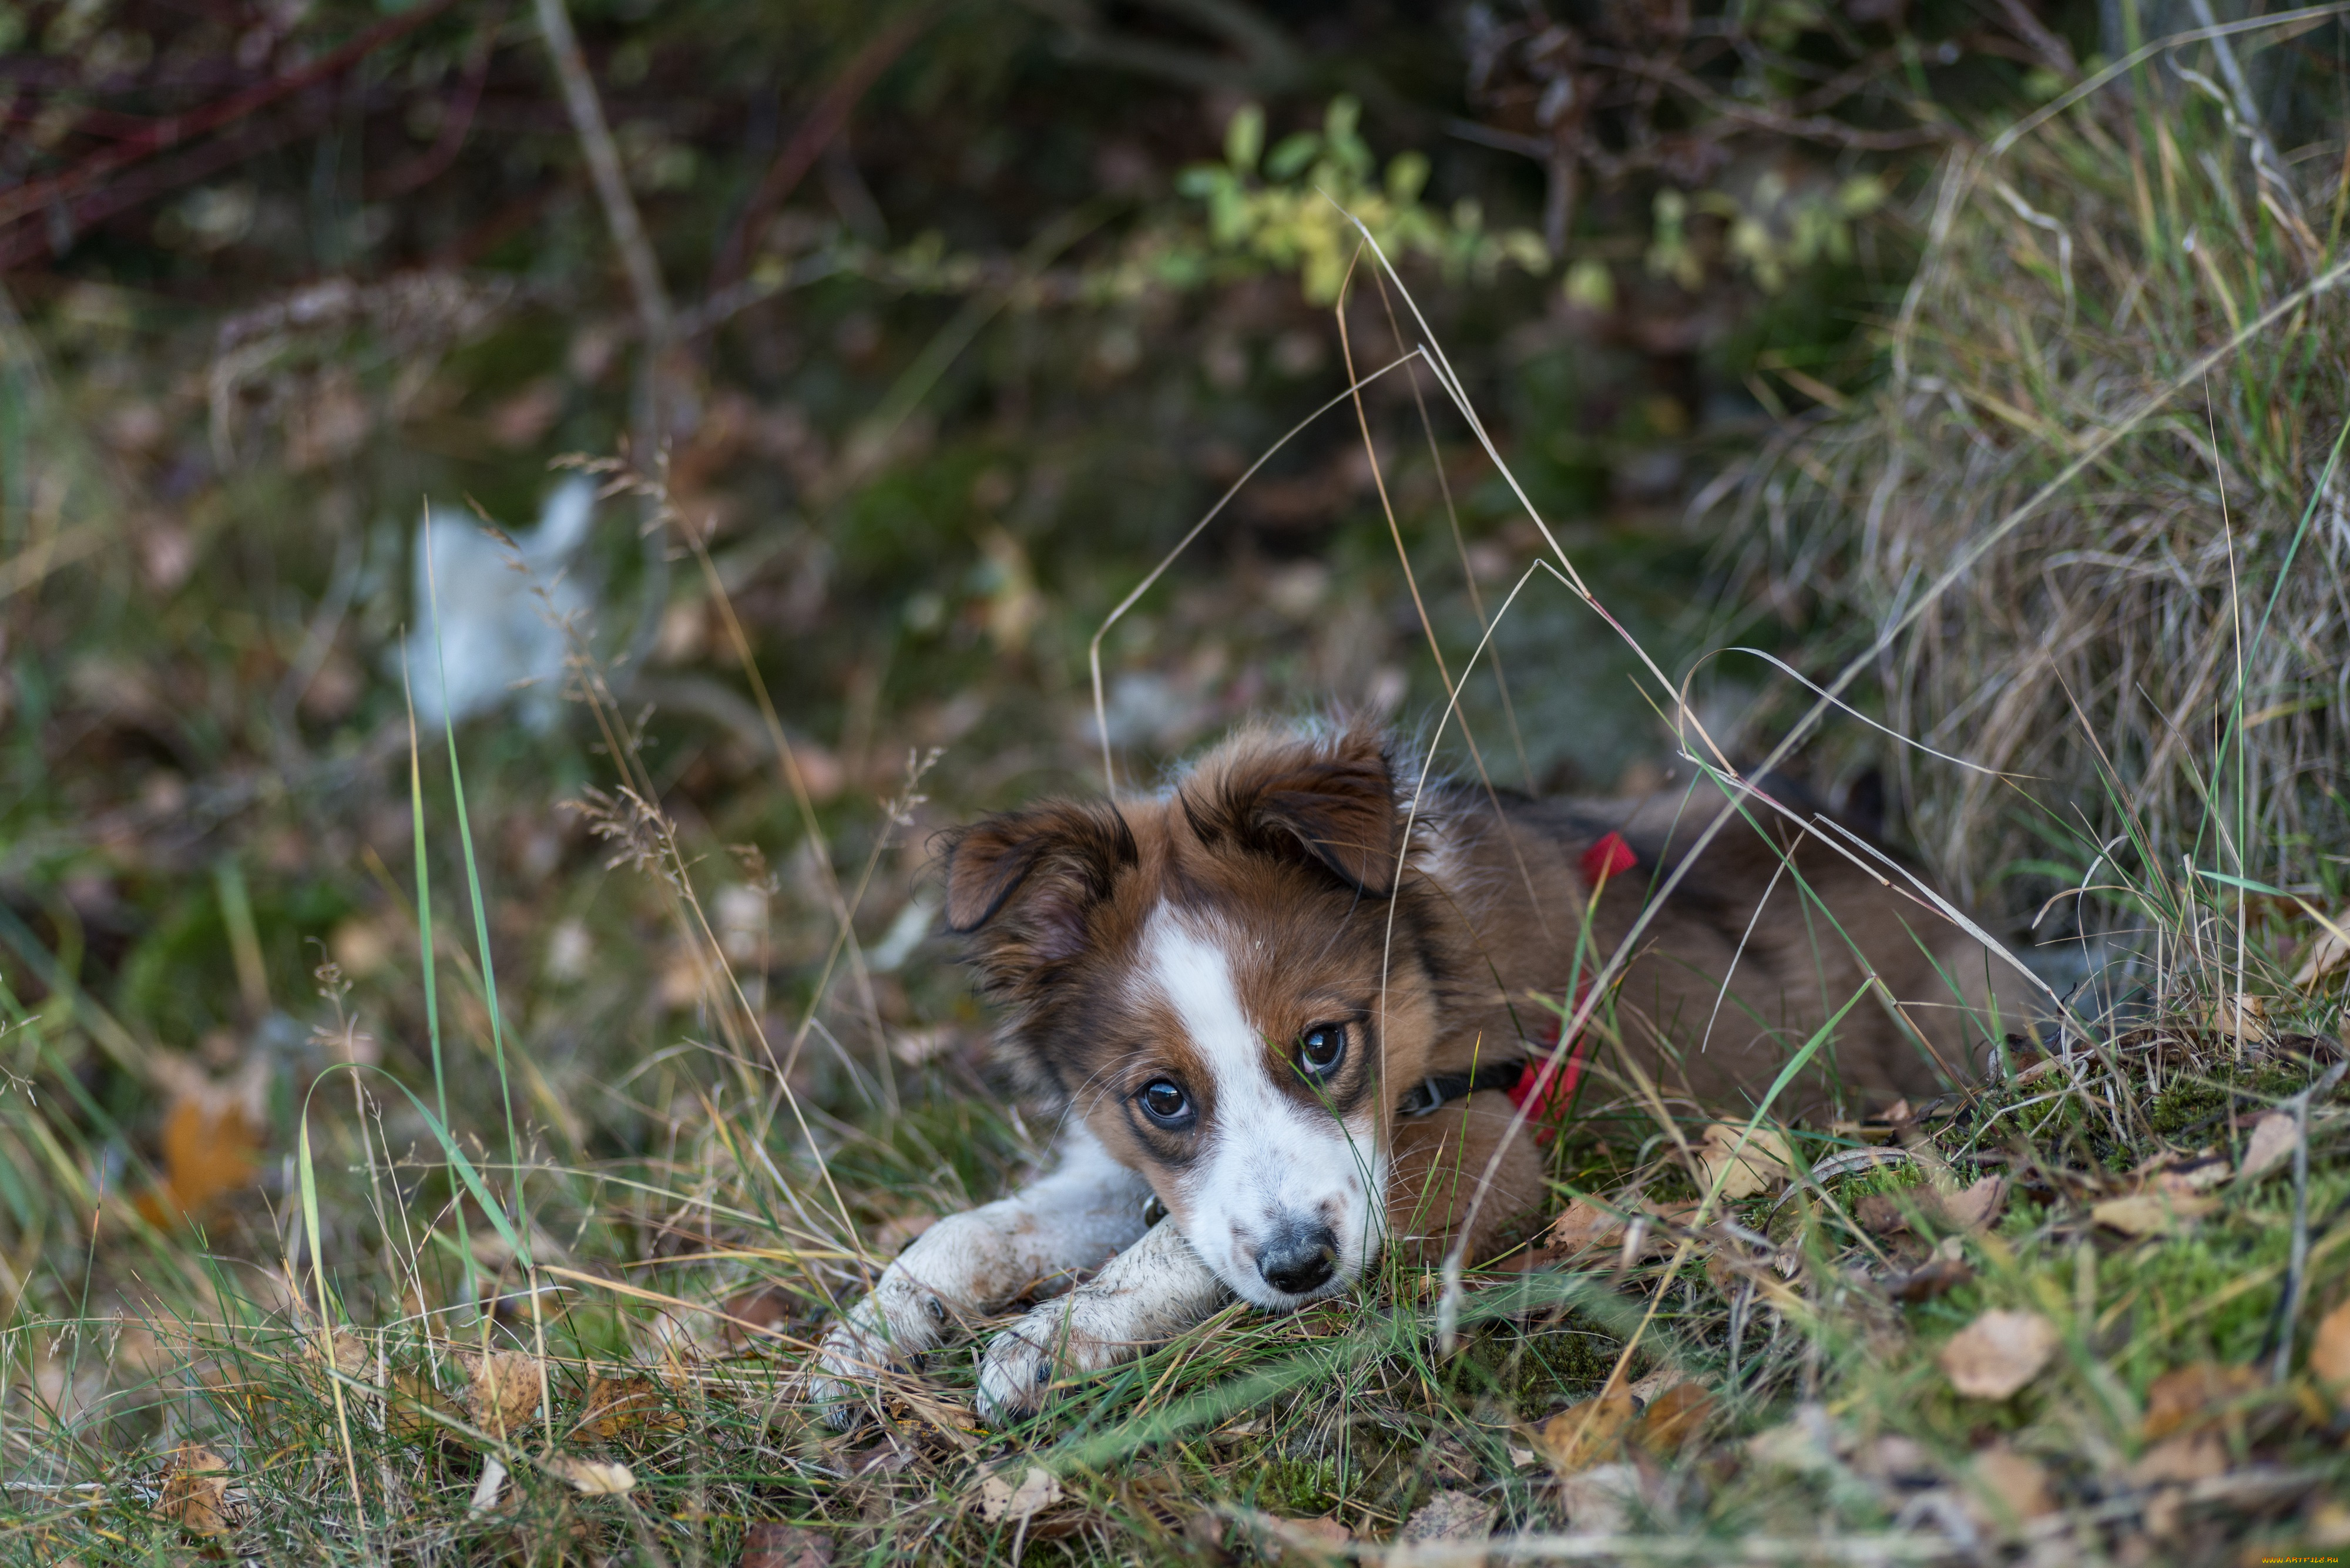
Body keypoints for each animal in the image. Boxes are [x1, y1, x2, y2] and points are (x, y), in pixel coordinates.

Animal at [808, 719, 2021, 1429]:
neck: (1428, 986)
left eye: (1322, 1043)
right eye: (1163, 1096)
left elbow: (1173, 1250)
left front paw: (1045, 1342)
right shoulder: (1135, 1163)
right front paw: (860, 1341)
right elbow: (974, 1230)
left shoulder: (1487, 1143)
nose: (1303, 1268)